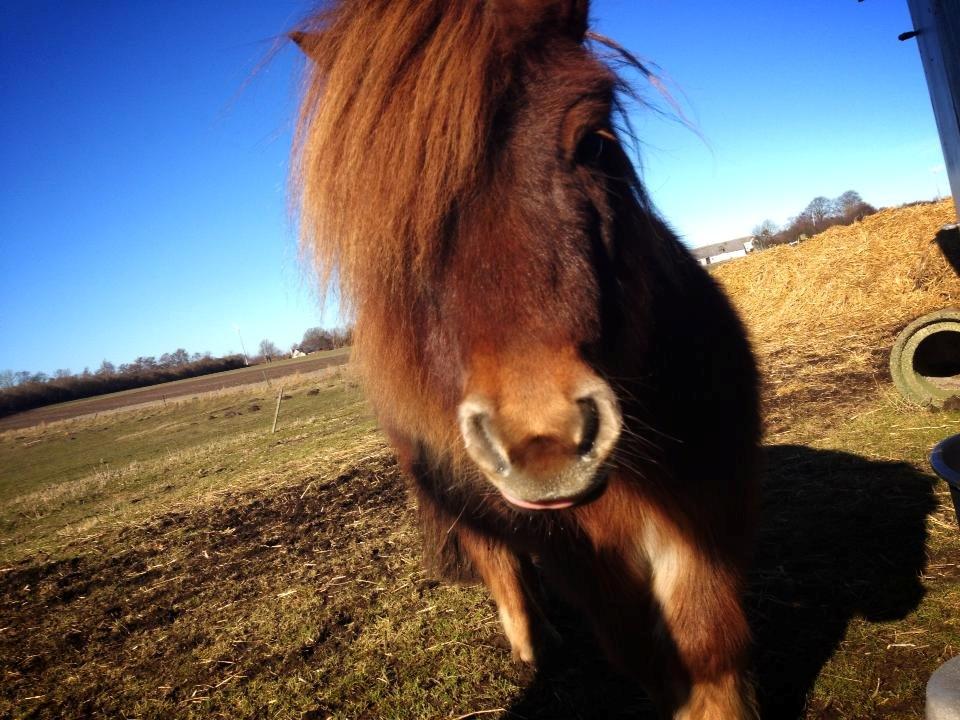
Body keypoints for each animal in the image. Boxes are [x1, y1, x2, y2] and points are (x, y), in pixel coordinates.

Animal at [290, 2, 756, 716]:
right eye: (392, 211)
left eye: (593, 141)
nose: (544, 440)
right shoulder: (590, 564)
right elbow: (657, 659)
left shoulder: (713, 516)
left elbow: (711, 644)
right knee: (498, 564)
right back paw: (534, 645)